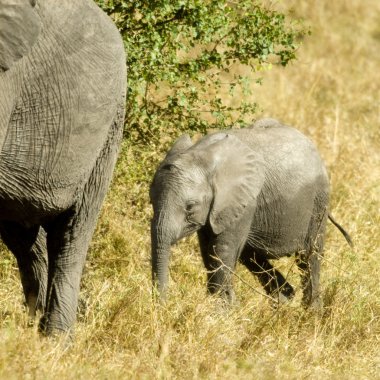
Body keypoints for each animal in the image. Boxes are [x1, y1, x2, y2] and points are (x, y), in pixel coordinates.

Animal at [150, 119, 352, 308]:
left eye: (190, 207)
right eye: (151, 201)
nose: (163, 306)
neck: (203, 154)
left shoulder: (244, 202)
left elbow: (221, 251)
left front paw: (221, 312)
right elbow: (208, 251)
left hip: (318, 202)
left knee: (309, 257)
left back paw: (311, 313)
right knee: (252, 256)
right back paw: (283, 302)